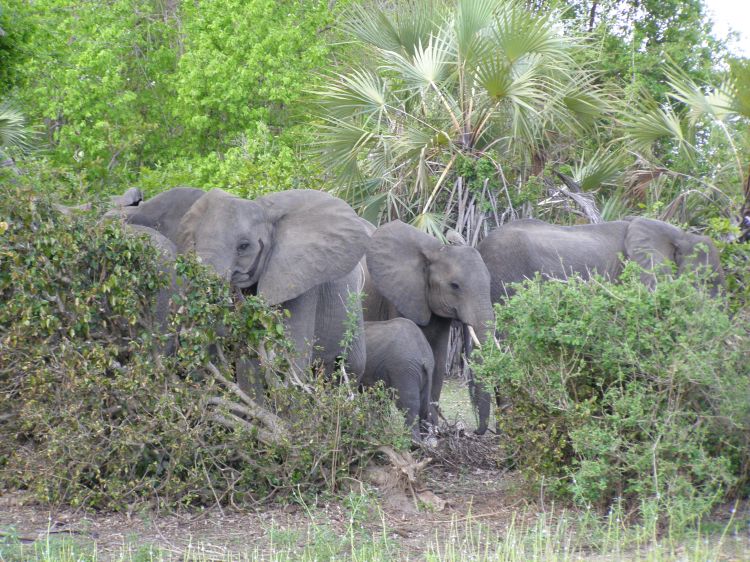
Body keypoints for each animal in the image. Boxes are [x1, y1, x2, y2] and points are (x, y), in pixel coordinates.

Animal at [363, 220, 495, 432]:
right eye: (455, 286)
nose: (475, 430)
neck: (436, 251)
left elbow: (438, 361)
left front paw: (431, 427)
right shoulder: (399, 296)